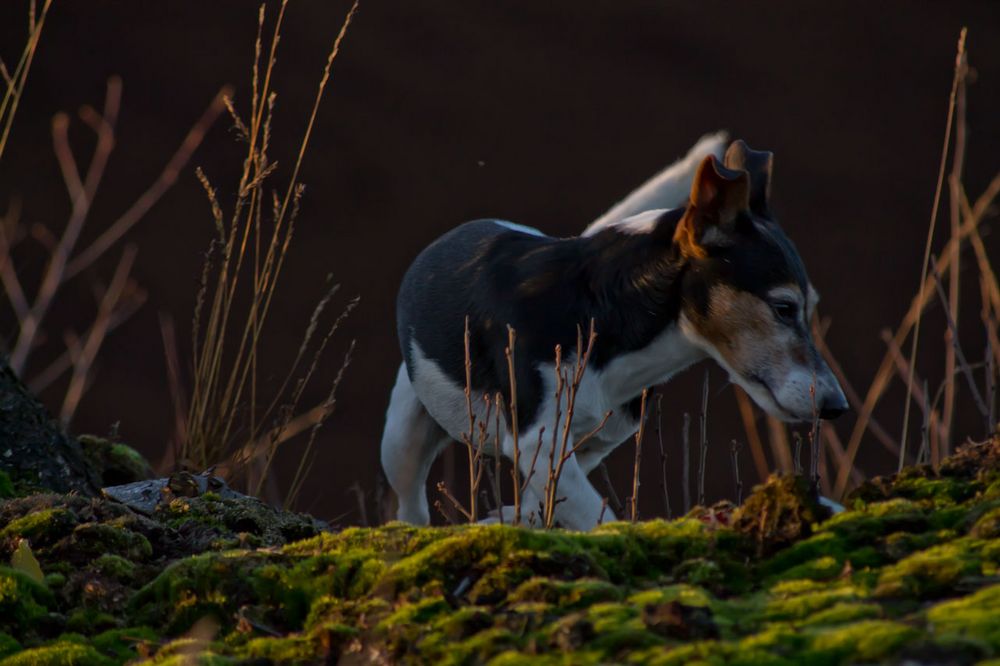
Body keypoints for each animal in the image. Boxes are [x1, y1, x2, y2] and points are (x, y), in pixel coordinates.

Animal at [378, 135, 848, 528]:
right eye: (783, 308)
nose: (836, 406)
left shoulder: (585, 447)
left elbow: (545, 501)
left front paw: (511, 516)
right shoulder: (538, 442)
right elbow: (596, 516)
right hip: (402, 438)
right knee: (409, 507)